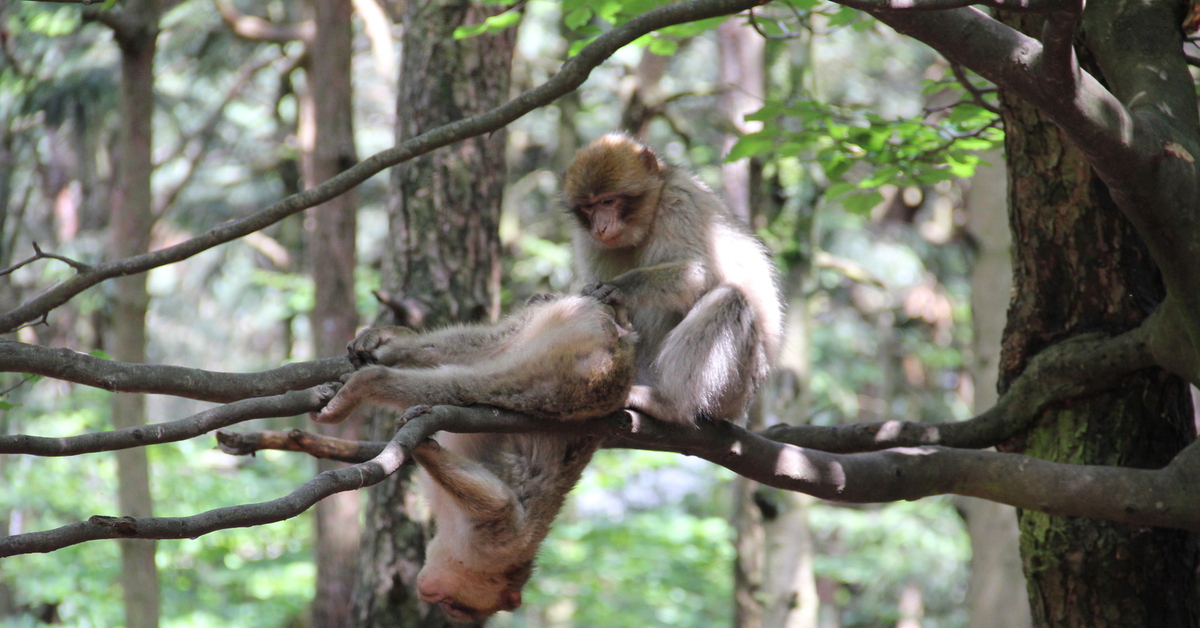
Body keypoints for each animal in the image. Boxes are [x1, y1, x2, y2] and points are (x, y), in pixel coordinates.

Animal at [314, 295, 643, 624]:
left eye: (453, 606)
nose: (429, 596)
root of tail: (615, 338)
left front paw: (422, 444)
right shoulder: (503, 543)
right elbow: (501, 503)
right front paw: (423, 448)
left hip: (546, 323)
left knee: (473, 346)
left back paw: (397, 344)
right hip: (570, 372)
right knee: (474, 386)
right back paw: (370, 381)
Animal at [564, 133, 782, 427]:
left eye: (608, 202)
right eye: (589, 206)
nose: (601, 227)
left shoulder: (678, 202)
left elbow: (701, 274)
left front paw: (619, 288)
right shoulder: (588, 239)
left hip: (739, 386)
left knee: (729, 299)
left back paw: (669, 404)